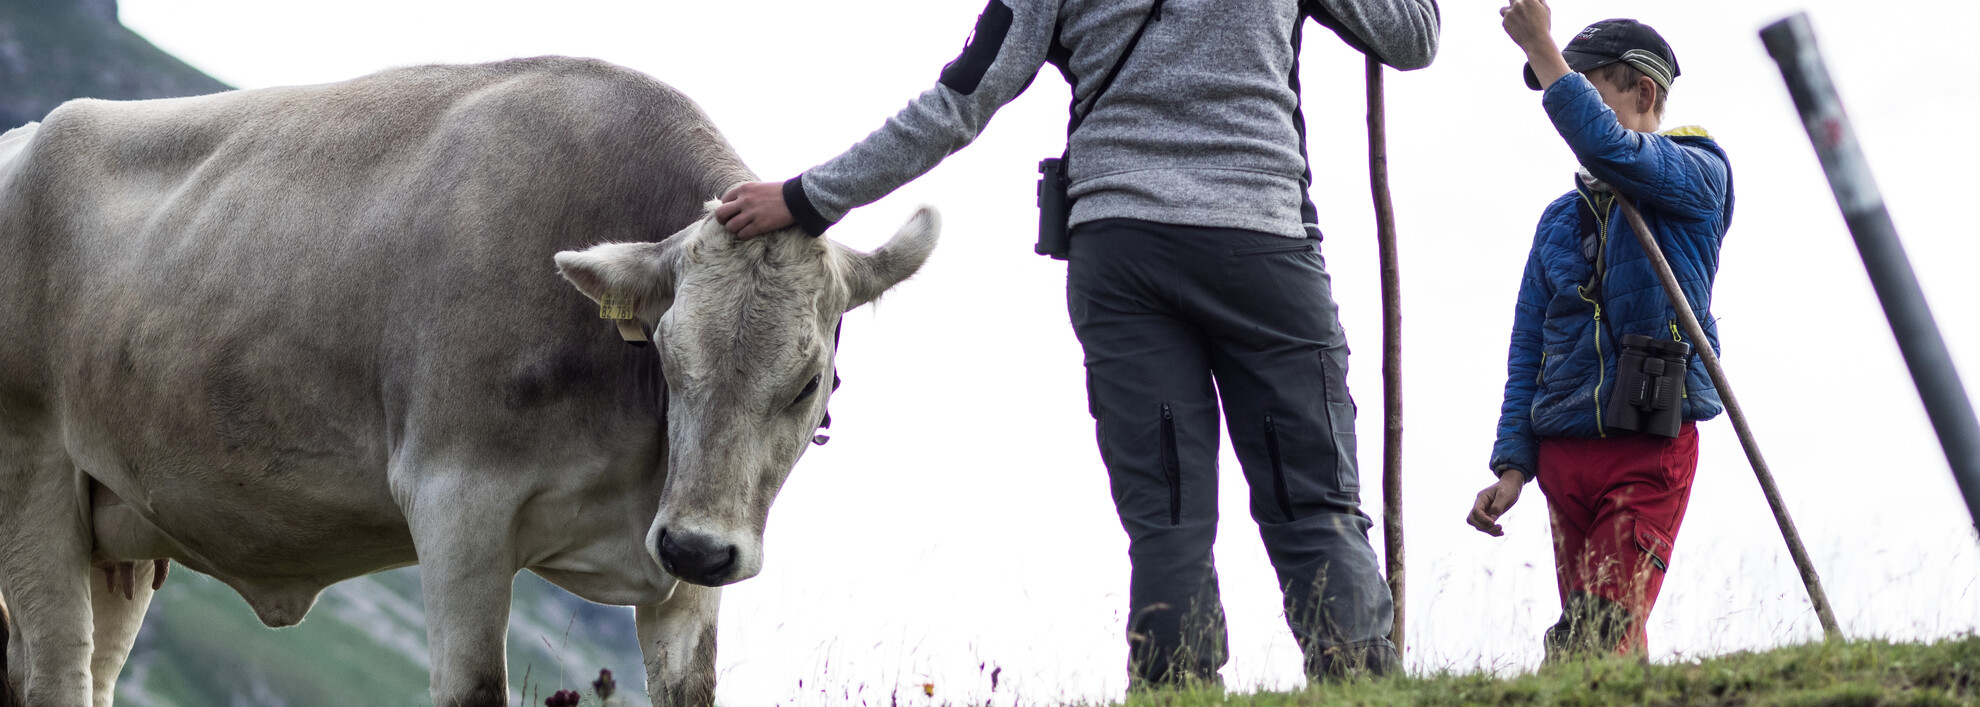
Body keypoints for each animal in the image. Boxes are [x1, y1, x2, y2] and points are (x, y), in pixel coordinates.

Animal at [0, 56, 938, 705]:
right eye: (670, 359)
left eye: (808, 382)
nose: (697, 548)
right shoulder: (457, 502)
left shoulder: (684, 570)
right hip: (31, 472)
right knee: (55, 669)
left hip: (116, 528)